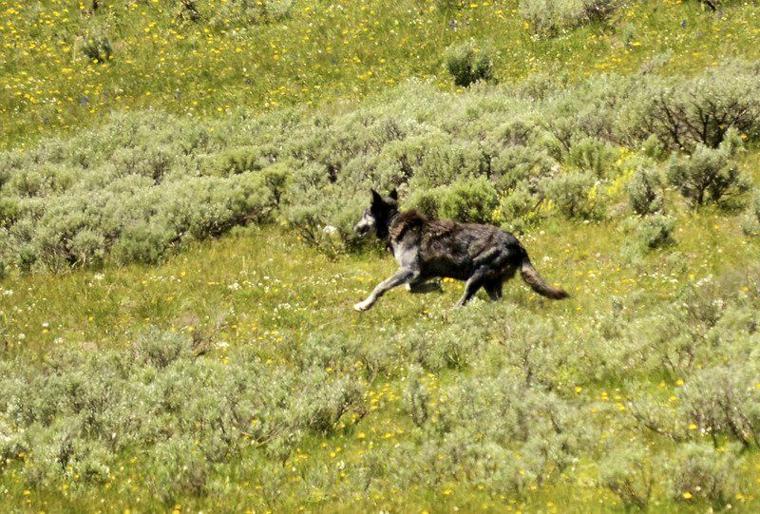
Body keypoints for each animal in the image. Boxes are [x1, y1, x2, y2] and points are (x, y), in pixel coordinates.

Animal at [354, 187, 568, 308]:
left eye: (365, 214)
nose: (355, 228)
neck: (393, 224)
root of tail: (518, 245)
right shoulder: (421, 273)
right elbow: (412, 287)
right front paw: (436, 287)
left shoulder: (409, 270)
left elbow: (380, 286)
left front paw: (364, 304)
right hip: (491, 283)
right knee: (498, 303)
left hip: (477, 276)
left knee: (463, 302)